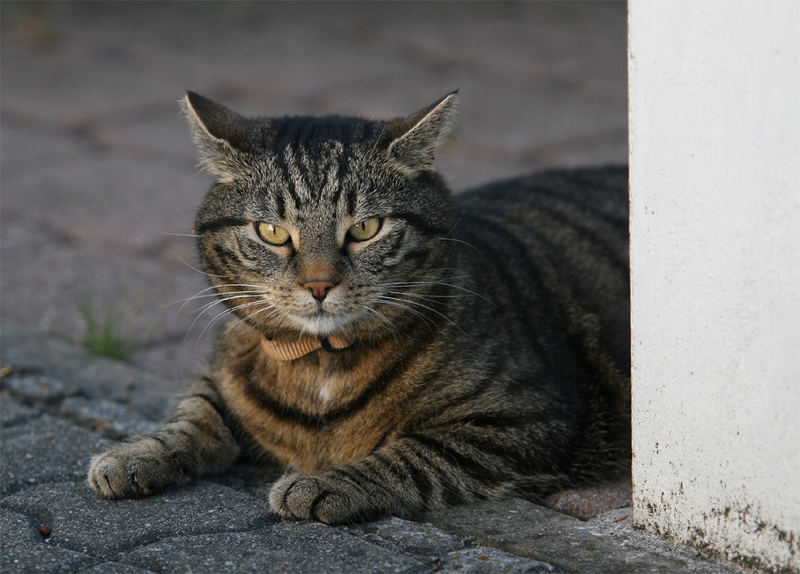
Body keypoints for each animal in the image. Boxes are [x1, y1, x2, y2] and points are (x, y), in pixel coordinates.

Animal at [89, 91, 632, 528]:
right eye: (272, 232)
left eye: (366, 228)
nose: (318, 284)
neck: (320, 362)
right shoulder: (224, 368)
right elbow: (193, 413)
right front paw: (135, 453)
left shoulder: (527, 419)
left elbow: (416, 454)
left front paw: (327, 484)